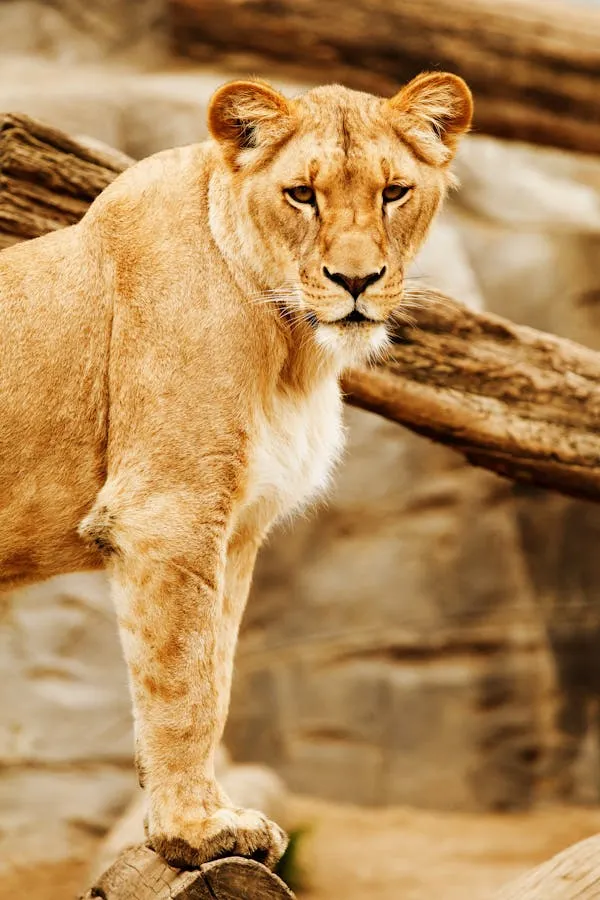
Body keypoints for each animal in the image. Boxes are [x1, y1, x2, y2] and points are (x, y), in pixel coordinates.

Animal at [0, 73, 472, 868]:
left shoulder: (238, 530)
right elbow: (183, 682)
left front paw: (199, 816)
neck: (292, 348)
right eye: (302, 194)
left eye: (394, 192)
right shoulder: (168, 512)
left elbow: (215, 673)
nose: (355, 281)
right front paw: (195, 830)